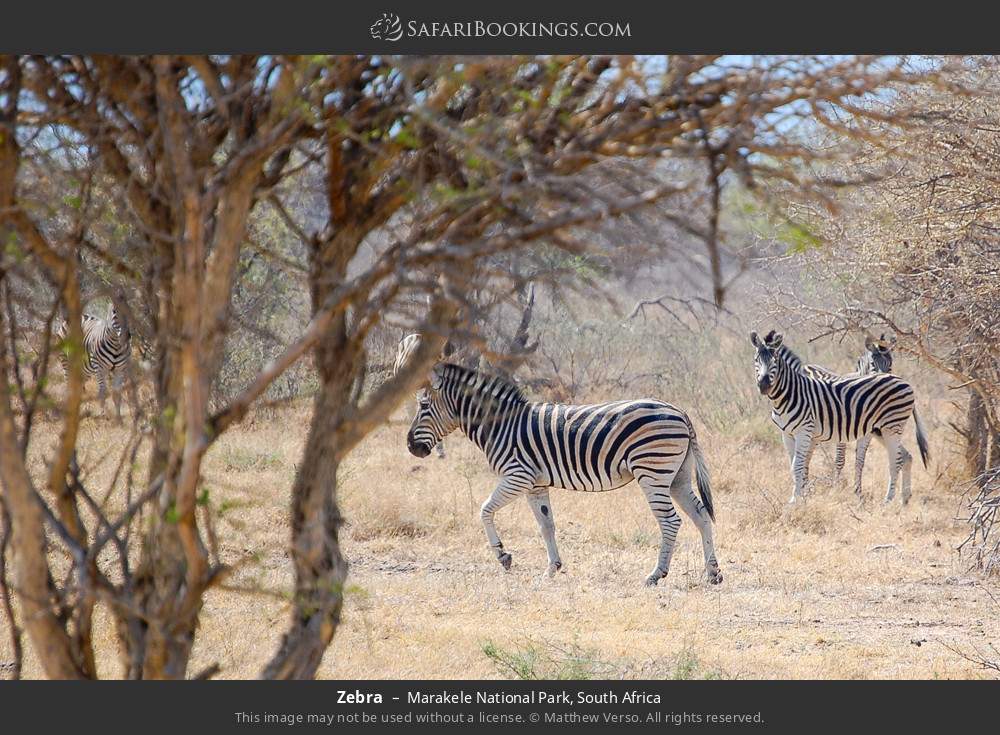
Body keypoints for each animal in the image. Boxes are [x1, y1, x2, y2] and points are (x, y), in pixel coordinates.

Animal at [407, 362, 722, 586]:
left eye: (423, 406)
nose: (411, 447)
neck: (499, 425)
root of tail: (680, 412)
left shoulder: (516, 476)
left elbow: (484, 510)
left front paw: (503, 556)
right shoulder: (535, 485)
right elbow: (546, 526)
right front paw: (552, 569)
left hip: (653, 471)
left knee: (670, 521)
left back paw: (657, 574)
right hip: (677, 476)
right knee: (701, 515)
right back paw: (713, 573)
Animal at [751, 330, 929, 504]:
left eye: (774, 360)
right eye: (756, 360)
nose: (764, 385)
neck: (789, 394)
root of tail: (904, 382)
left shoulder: (805, 432)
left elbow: (799, 466)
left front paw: (796, 500)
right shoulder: (787, 434)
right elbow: (795, 465)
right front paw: (802, 496)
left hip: (892, 427)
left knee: (895, 461)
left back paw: (888, 501)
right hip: (881, 430)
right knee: (905, 457)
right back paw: (904, 498)